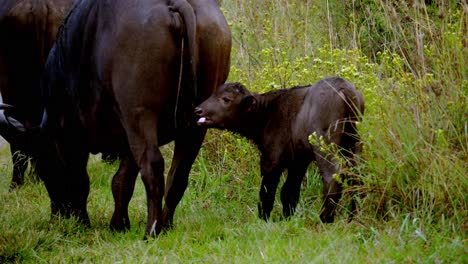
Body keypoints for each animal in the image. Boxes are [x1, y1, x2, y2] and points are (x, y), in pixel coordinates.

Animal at [196, 77, 364, 224]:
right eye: (213, 94)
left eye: (226, 99)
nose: (198, 110)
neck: (267, 112)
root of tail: (344, 89)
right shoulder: (298, 162)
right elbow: (289, 192)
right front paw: (287, 218)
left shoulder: (271, 160)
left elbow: (267, 191)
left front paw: (263, 218)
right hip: (354, 145)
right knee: (357, 175)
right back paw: (352, 217)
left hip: (325, 146)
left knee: (333, 176)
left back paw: (325, 219)